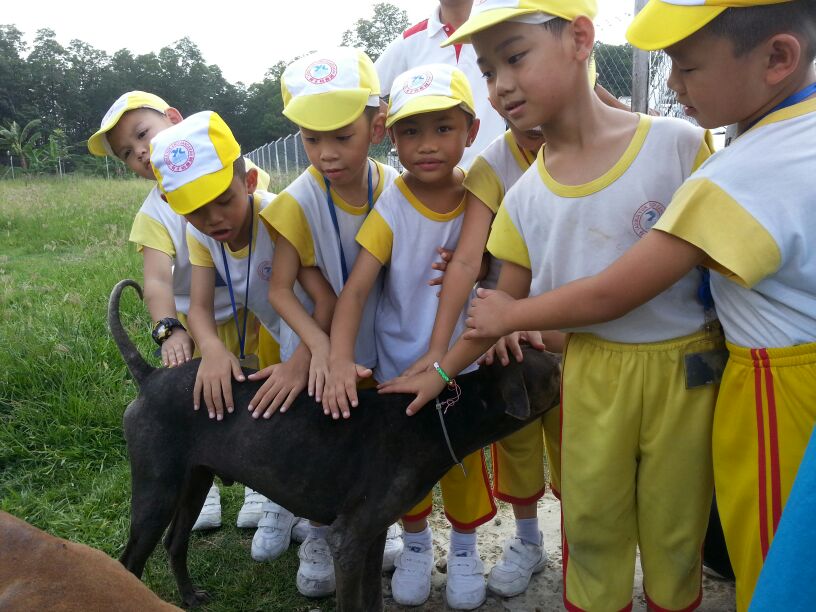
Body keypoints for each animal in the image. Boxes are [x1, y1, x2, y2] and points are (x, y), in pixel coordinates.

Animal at [111, 280, 560, 608]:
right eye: (554, 371)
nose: (565, 352)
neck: (439, 418)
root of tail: (149, 377)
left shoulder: (372, 535)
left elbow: (371, 600)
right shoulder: (348, 540)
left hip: (193, 481)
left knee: (174, 541)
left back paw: (189, 596)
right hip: (156, 491)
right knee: (129, 561)